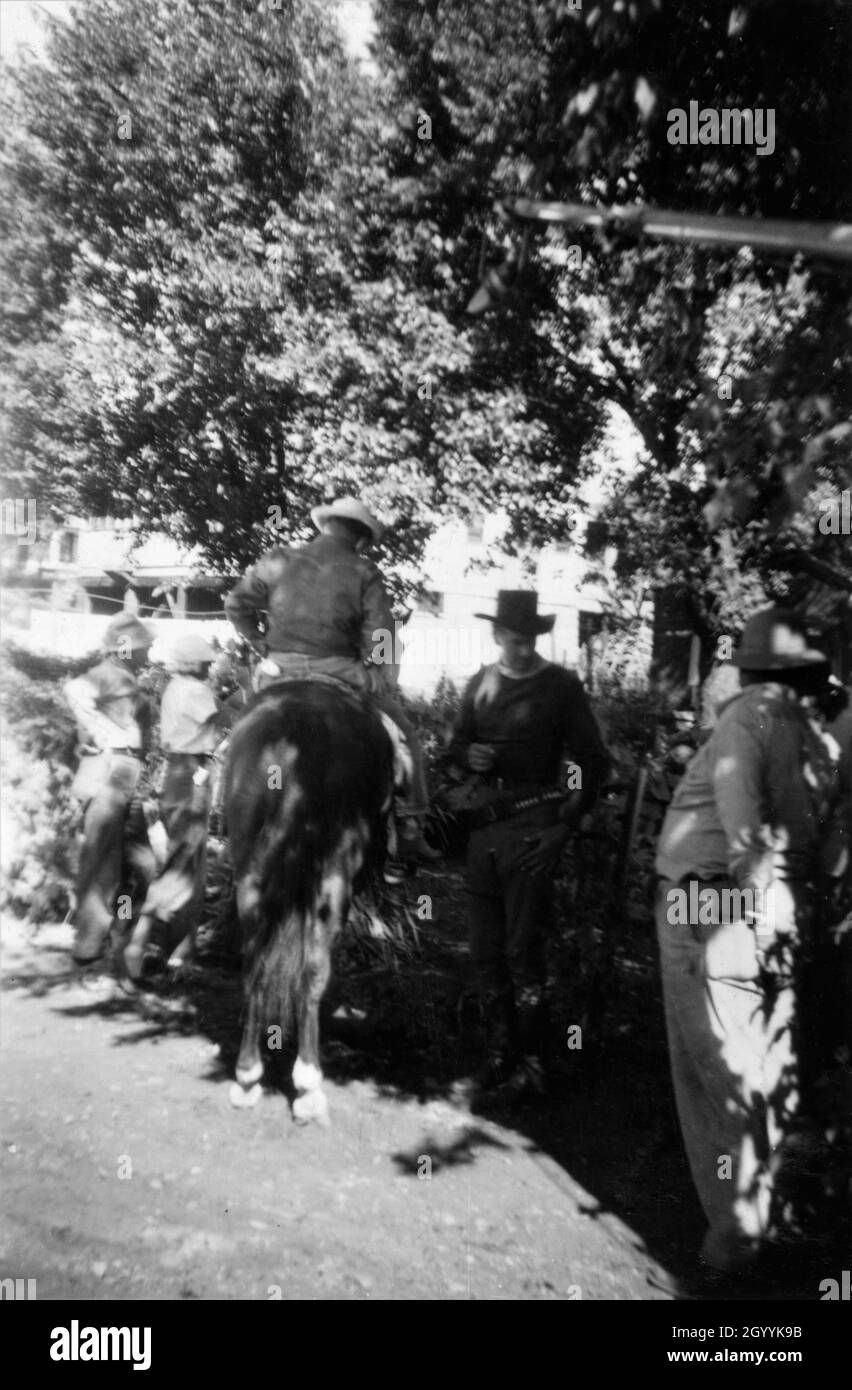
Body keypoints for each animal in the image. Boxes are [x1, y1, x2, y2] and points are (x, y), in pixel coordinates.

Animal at [219, 678, 391, 1123]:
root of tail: (300, 724)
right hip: (335, 872)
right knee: (313, 969)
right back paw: (309, 1084)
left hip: (250, 868)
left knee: (255, 964)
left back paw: (247, 1075)